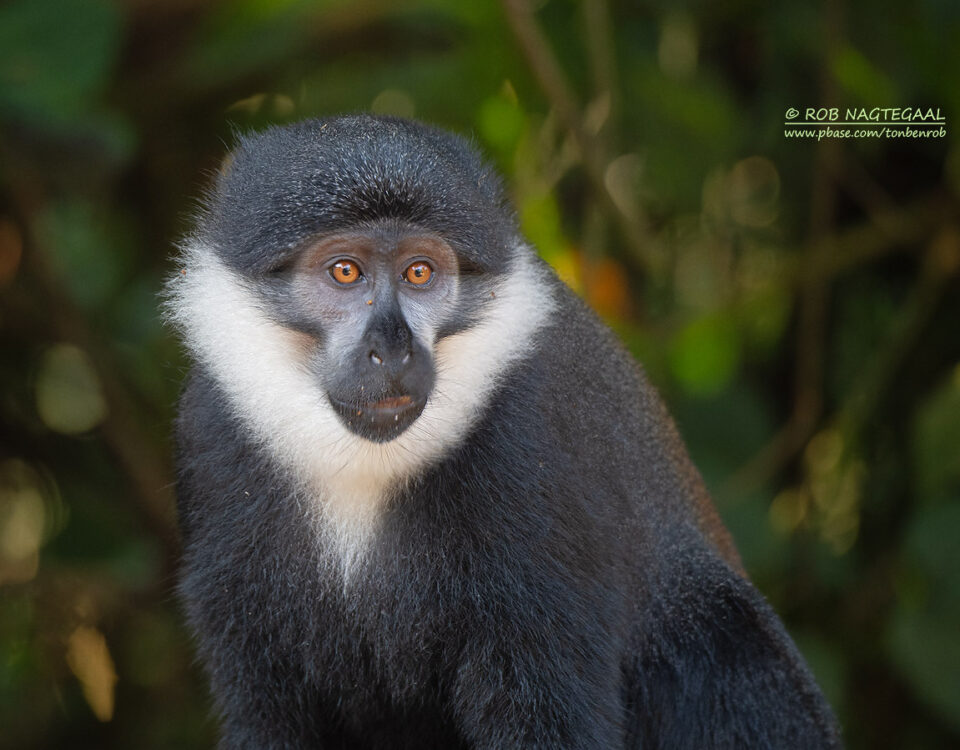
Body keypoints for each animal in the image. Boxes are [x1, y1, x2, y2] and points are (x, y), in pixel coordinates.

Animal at [164, 114, 841, 749]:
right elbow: (267, 716)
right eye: (346, 272)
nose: (393, 348)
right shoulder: (208, 442)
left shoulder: (534, 447)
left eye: (419, 273)